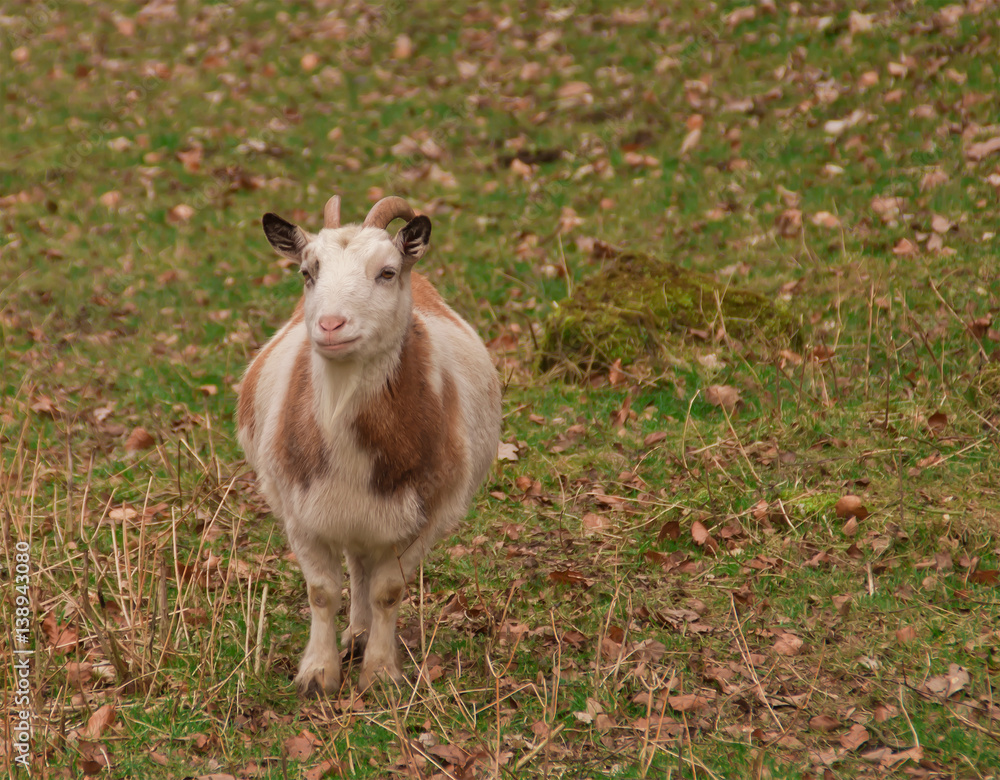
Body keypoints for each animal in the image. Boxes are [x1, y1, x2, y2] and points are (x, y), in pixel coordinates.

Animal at [237, 195, 502, 695]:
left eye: (387, 272)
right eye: (307, 272)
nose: (330, 325)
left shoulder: (424, 515)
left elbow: (387, 591)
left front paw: (379, 674)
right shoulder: (300, 512)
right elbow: (322, 592)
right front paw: (318, 674)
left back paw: (362, 638)